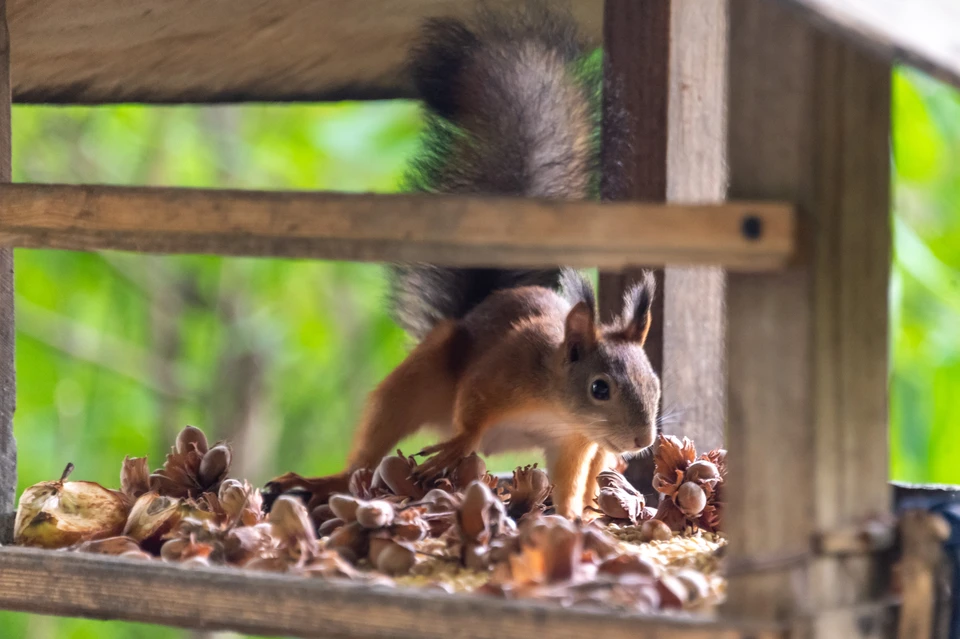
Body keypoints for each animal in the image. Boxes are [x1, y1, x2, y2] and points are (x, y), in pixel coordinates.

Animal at [266, 0, 664, 520]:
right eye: (600, 388)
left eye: (655, 385)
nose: (641, 439)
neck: (556, 406)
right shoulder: (502, 371)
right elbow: (472, 409)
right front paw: (460, 444)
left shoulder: (574, 441)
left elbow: (568, 483)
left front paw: (572, 520)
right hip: (420, 378)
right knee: (374, 442)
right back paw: (325, 480)